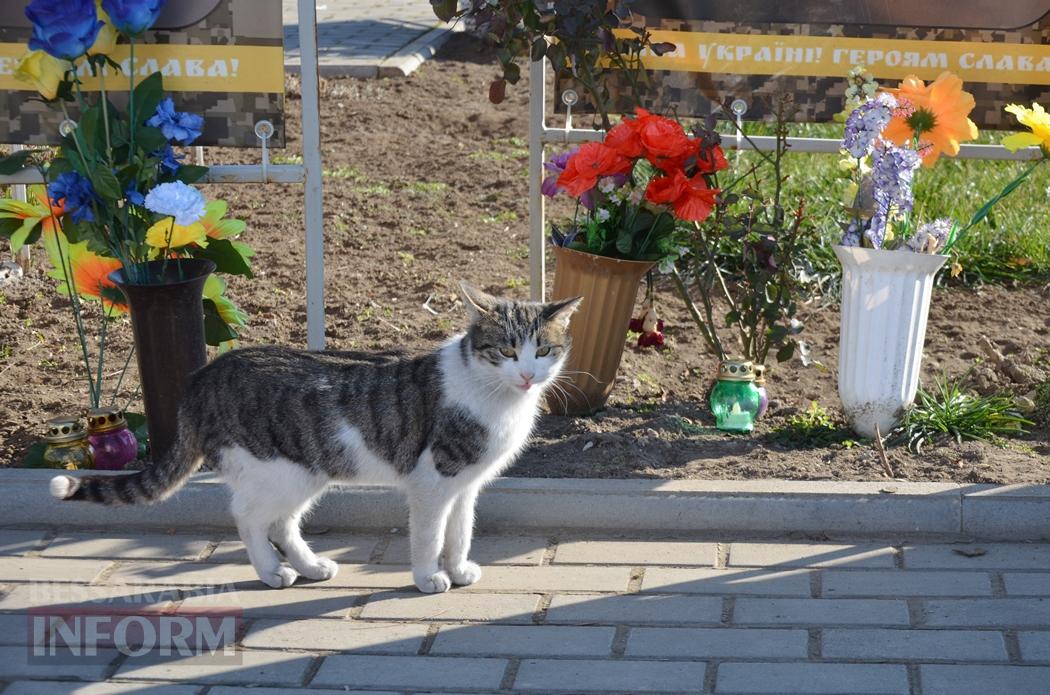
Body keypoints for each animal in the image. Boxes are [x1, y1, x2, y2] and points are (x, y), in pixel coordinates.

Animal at [49, 281, 583, 592]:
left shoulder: (465, 485)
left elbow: (461, 531)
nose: (528, 375)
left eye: (544, 350)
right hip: (277, 470)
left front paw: (458, 568)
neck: (493, 394)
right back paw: (270, 572)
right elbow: (430, 535)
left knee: (283, 524)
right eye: (506, 351)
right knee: (248, 518)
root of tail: (205, 375)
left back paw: (309, 567)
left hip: (304, 471)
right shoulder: (433, 482)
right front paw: (429, 576)